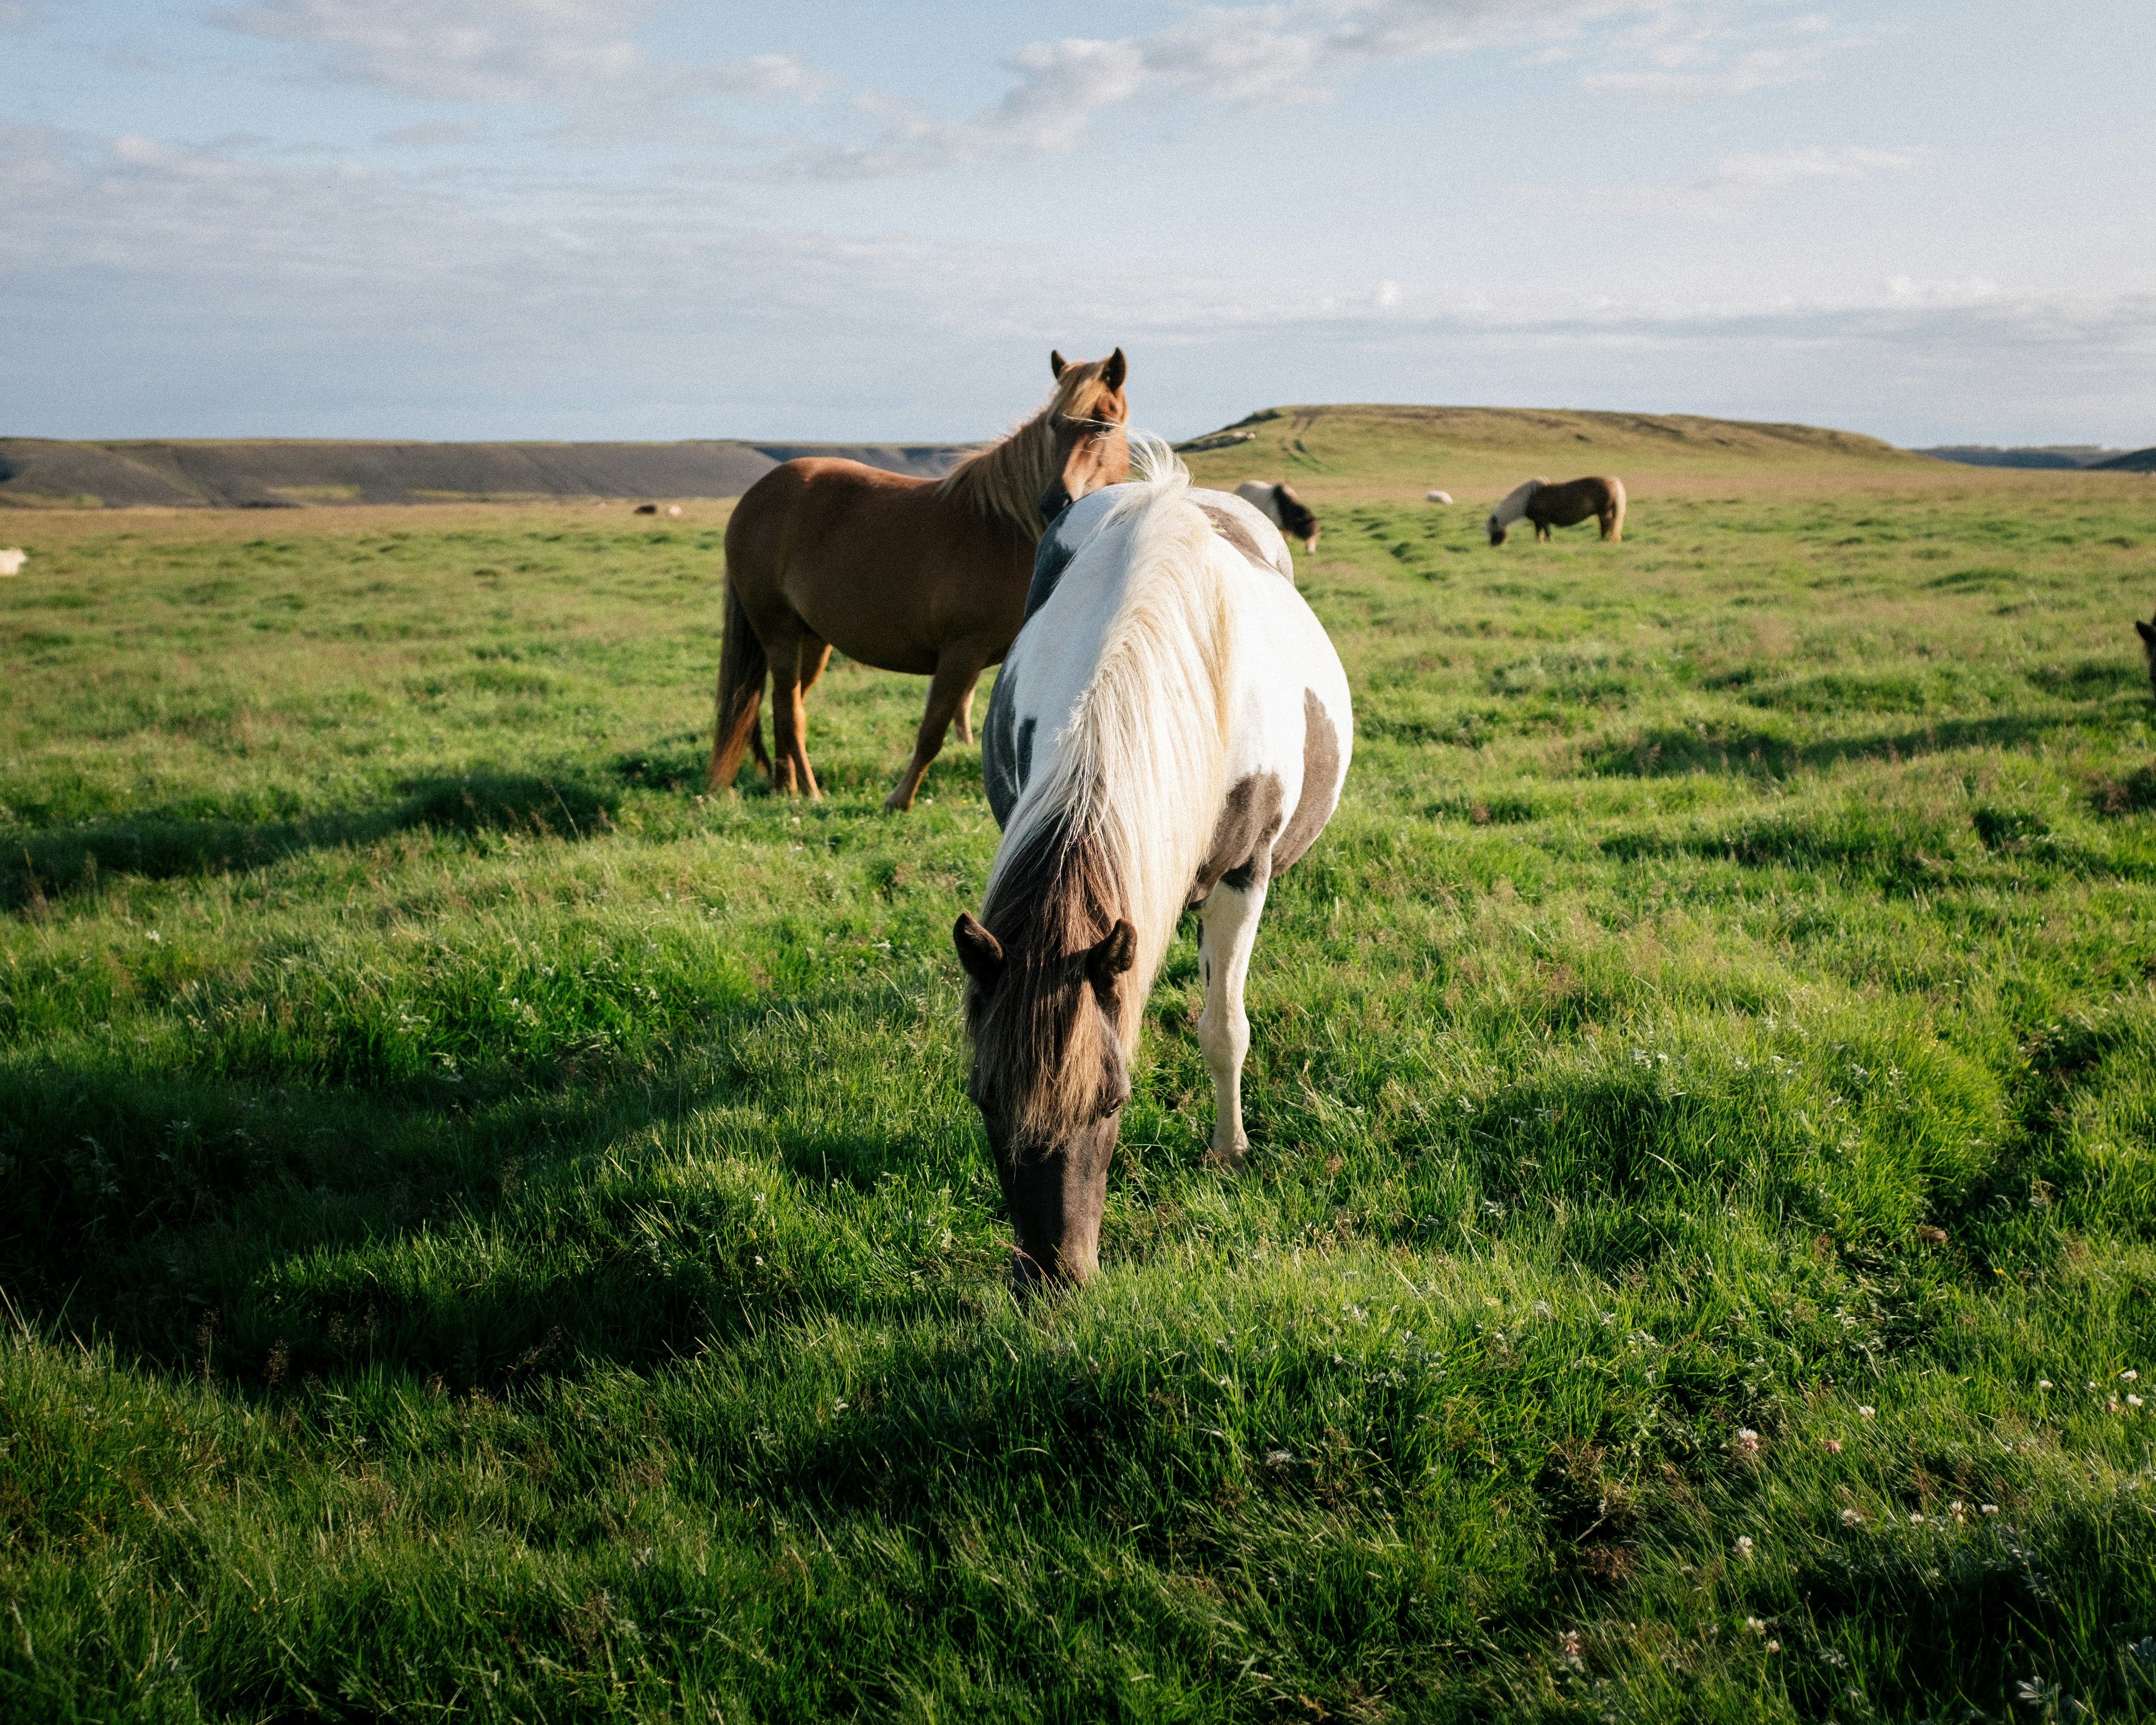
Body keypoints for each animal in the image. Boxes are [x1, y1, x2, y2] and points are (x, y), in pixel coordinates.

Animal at [708, 348, 1131, 811]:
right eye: (1055, 424)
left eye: (1105, 422)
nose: (1057, 502)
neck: (1009, 530)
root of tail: (755, 496)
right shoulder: (961, 654)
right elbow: (933, 731)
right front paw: (899, 800)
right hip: (779, 633)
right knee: (790, 712)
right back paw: (808, 792)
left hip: (812, 641)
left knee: (784, 706)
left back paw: (787, 786)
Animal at [1234, 479, 1320, 552]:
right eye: (1308, 535)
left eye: (1316, 536)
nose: (1311, 553)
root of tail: (1238, 488)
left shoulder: (1287, 529)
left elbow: (1286, 541)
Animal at [1486, 476, 1626, 546]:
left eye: (1494, 531)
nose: (1494, 545)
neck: (1529, 498)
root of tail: (1612, 482)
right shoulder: (1541, 521)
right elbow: (1543, 532)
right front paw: (1543, 542)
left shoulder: (1541, 520)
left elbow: (1543, 532)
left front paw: (1546, 542)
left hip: (1603, 512)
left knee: (1606, 526)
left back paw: (1603, 541)